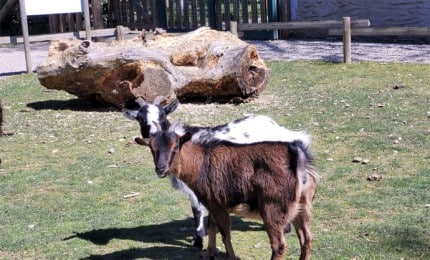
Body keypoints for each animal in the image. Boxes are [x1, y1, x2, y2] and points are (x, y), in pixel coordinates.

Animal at [144, 123, 316, 258]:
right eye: (152, 149)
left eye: (175, 148)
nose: (160, 168)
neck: (200, 164)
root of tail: (298, 160)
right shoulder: (212, 204)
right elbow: (211, 227)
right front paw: (209, 253)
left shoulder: (218, 204)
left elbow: (225, 234)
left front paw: (229, 256)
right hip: (303, 205)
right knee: (306, 238)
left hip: (273, 207)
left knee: (279, 246)